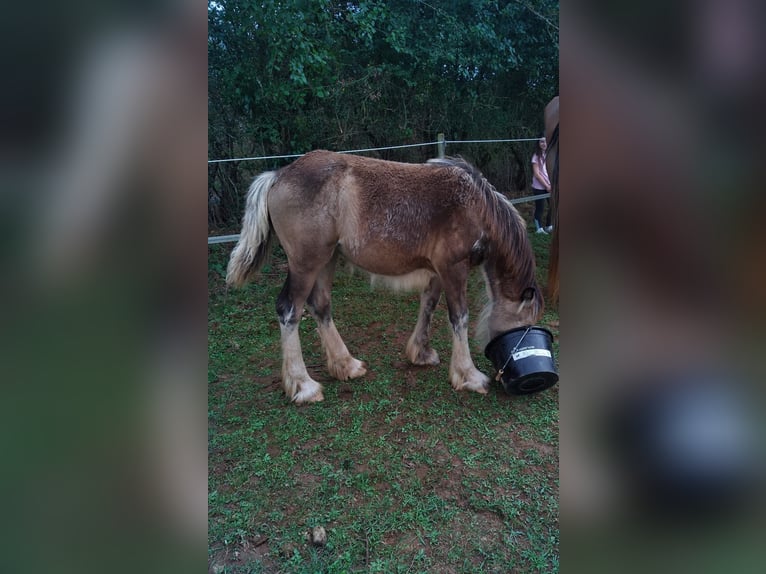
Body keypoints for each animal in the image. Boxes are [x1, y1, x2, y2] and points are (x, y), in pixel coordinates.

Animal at [225, 152, 544, 404]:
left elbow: (428, 305)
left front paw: (420, 353)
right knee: (289, 310)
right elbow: (459, 317)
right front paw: (469, 375)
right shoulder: (454, 268)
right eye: (523, 326)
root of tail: (278, 175)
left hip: (326, 261)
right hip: (305, 264)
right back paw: (303, 385)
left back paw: (345, 365)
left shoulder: (437, 270)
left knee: (321, 306)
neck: (475, 206)